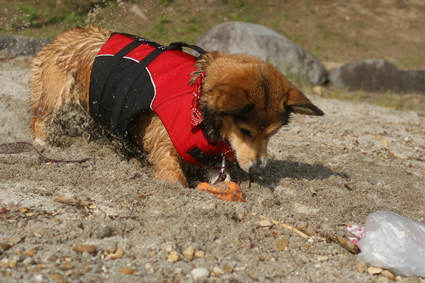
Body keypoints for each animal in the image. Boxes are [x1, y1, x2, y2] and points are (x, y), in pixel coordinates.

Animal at [29, 25, 322, 187]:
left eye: (272, 134)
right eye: (245, 131)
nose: (258, 169)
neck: (196, 100)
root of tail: (65, 35)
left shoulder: (209, 158)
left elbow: (219, 176)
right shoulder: (162, 142)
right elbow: (174, 175)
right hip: (57, 94)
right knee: (39, 117)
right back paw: (42, 141)